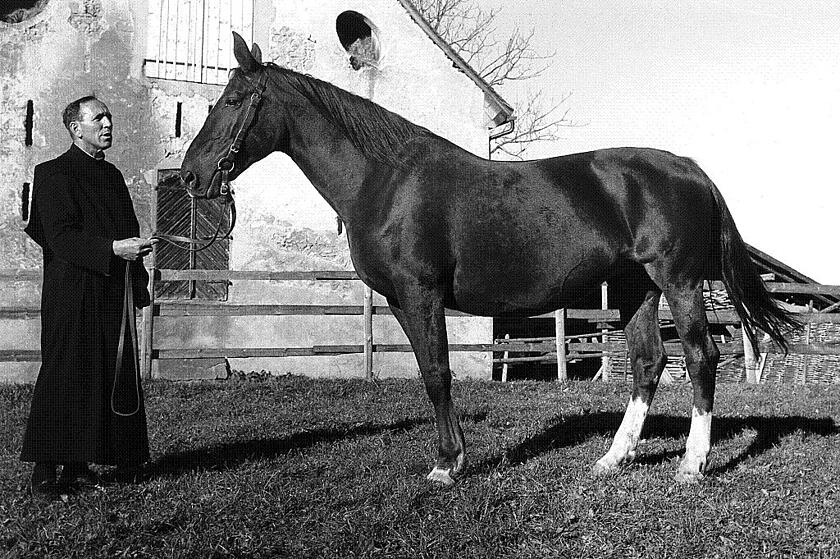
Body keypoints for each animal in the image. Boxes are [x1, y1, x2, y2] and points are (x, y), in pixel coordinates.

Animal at [180, 32, 796, 486]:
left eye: (231, 101)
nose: (190, 175)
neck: (385, 180)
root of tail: (690, 168)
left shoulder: (421, 294)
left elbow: (438, 374)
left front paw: (446, 465)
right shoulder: (401, 302)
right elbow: (432, 372)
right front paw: (451, 457)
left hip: (680, 281)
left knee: (700, 357)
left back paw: (692, 464)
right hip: (634, 290)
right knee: (648, 363)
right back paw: (610, 460)